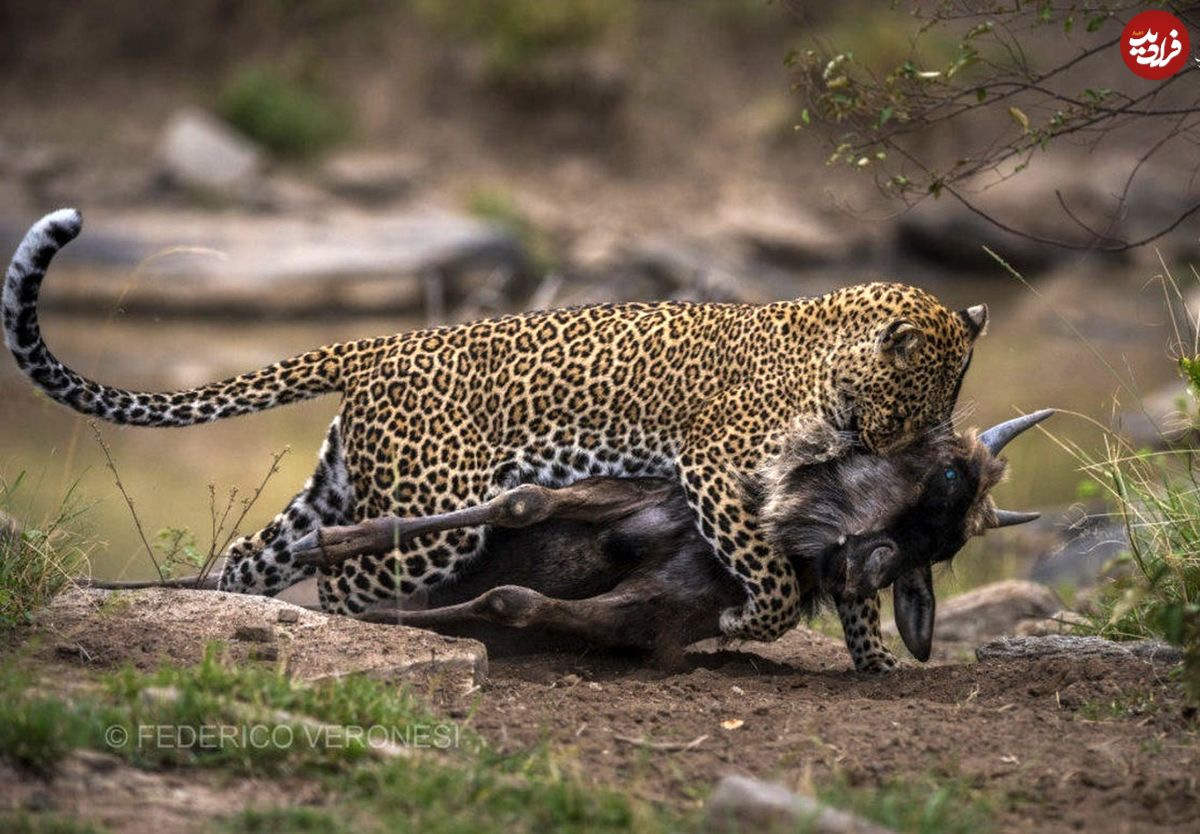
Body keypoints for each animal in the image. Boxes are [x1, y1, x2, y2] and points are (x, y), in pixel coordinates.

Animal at [4, 210, 988, 667]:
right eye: (911, 410)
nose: (902, 452)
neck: (832, 361)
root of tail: (374, 343)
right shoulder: (716, 464)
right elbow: (771, 566)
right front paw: (756, 615)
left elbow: (844, 566)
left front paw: (873, 655)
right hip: (436, 510)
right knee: (348, 574)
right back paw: (360, 627)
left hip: (344, 485)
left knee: (262, 554)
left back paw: (239, 612)